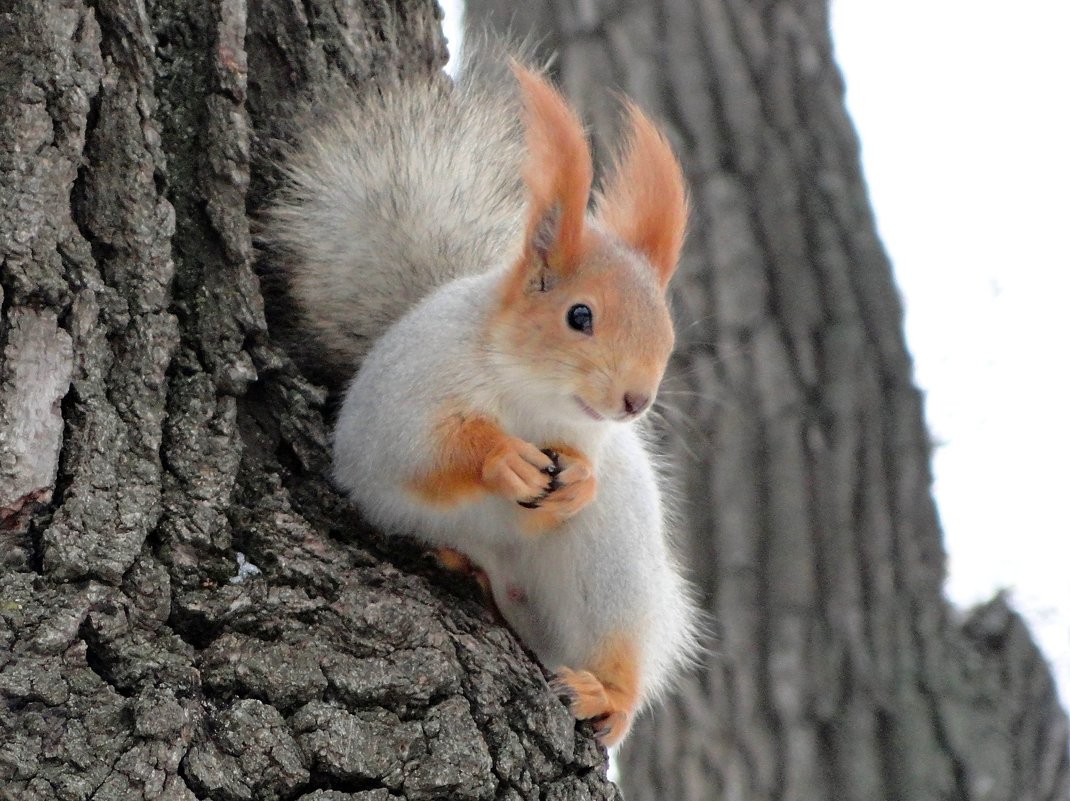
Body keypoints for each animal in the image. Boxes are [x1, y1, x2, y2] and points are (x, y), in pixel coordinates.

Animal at [267, 51, 701, 748]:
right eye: (579, 315)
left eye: (666, 332)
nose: (636, 401)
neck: (532, 396)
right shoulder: (403, 401)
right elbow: (421, 451)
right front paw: (502, 458)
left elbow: (588, 462)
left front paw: (580, 477)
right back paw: (461, 561)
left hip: (615, 567)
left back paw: (606, 694)